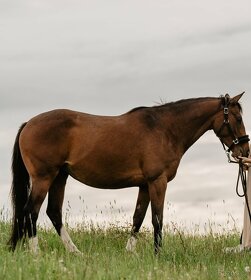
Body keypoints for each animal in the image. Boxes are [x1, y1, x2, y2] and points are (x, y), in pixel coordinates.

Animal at [7, 93, 249, 254]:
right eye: (237, 118)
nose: (245, 151)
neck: (165, 129)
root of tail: (29, 123)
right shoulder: (158, 181)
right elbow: (157, 219)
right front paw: (158, 255)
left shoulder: (144, 185)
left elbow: (138, 218)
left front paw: (130, 252)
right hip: (44, 178)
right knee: (31, 212)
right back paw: (36, 254)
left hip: (59, 177)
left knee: (53, 213)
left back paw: (75, 252)